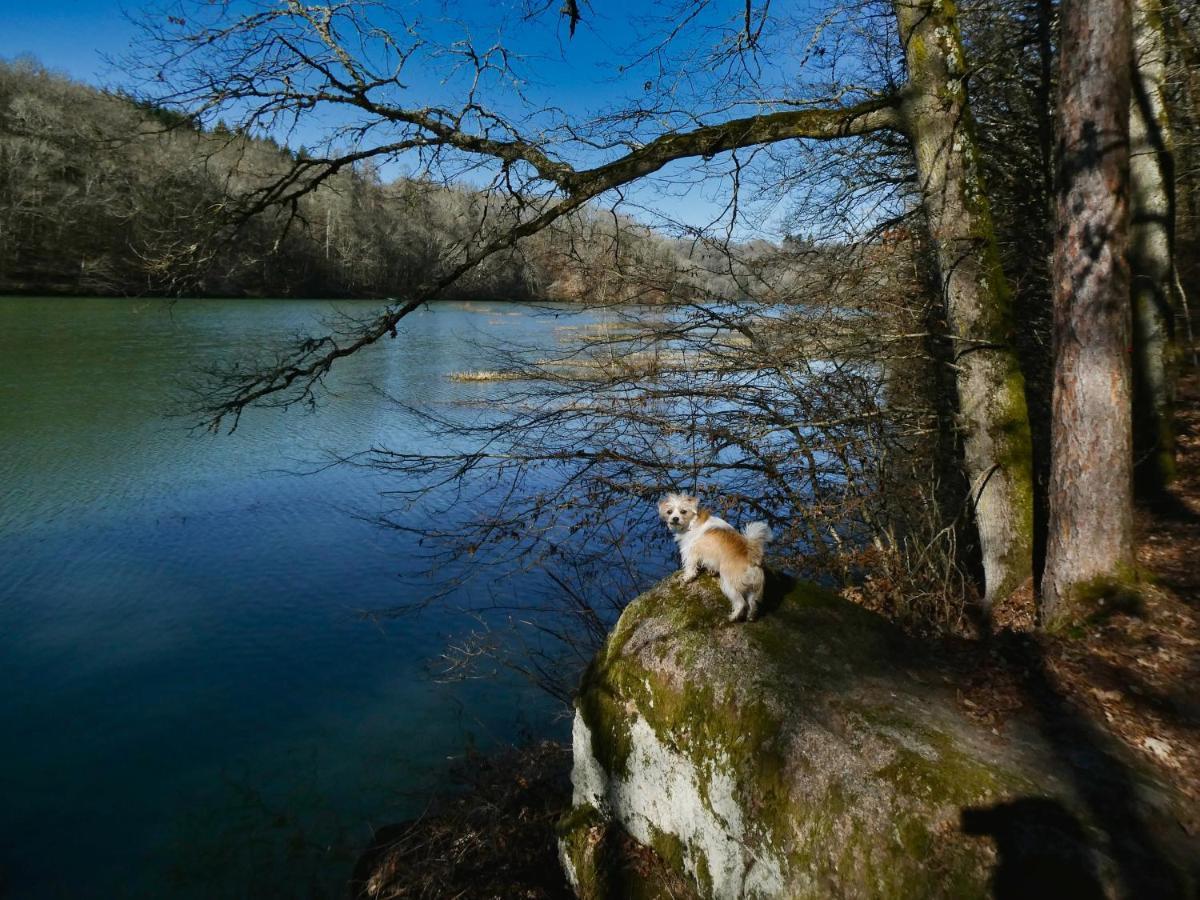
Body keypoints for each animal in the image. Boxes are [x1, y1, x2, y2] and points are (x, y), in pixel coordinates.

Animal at [657, 496, 777, 624]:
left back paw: (732, 617)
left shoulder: (691, 553)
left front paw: (687, 578)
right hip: (753, 589)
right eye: (669, 512)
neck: (693, 522)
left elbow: (690, 567)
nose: (675, 518)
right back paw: (750, 617)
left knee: (741, 603)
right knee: (752, 604)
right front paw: (711, 571)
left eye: (683, 511)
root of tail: (751, 557)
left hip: (729, 584)